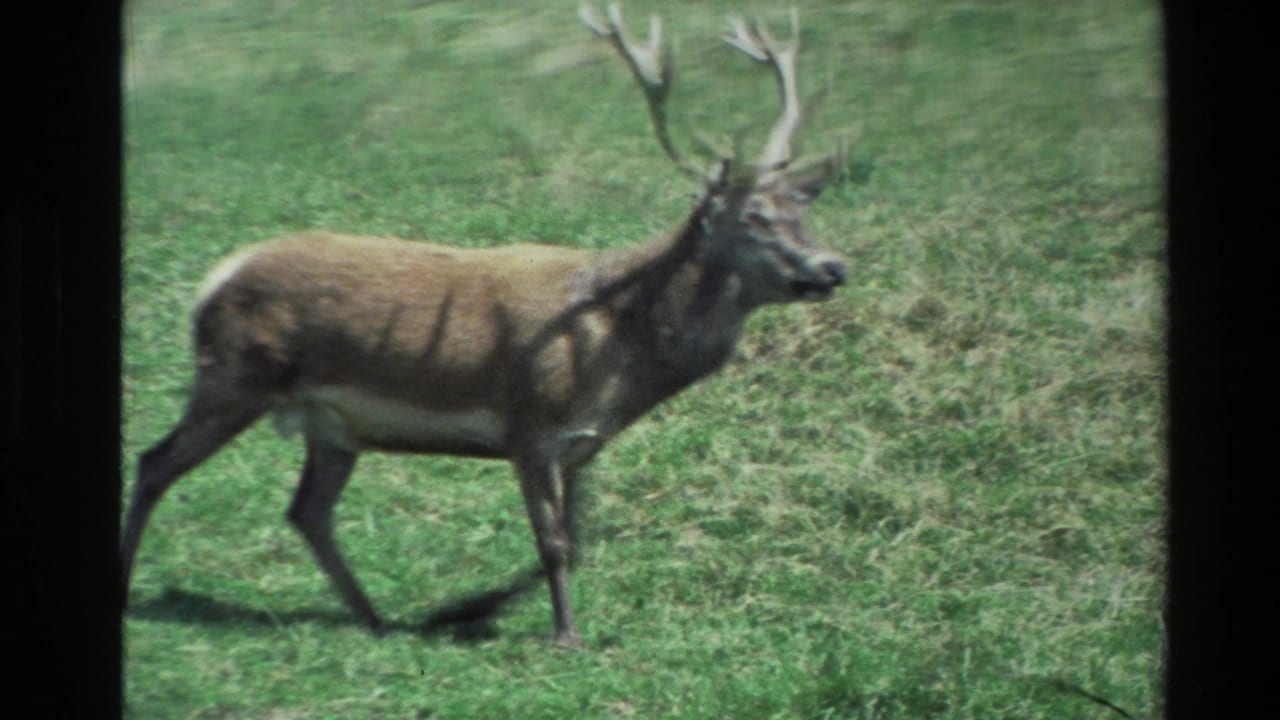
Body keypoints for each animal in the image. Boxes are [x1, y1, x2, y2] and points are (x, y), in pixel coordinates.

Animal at [120, 2, 850, 647]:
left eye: (804, 210)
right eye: (754, 218)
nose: (833, 265)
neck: (616, 355)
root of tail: (214, 280)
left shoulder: (579, 443)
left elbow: (579, 542)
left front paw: (470, 609)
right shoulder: (530, 426)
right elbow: (553, 542)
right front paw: (562, 635)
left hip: (329, 424)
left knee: (307, 510)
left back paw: (376, 618)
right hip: (232, 377)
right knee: (155, 462)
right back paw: (130, 586)